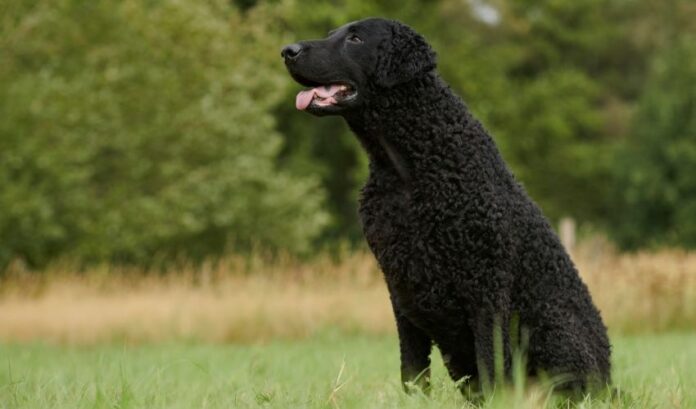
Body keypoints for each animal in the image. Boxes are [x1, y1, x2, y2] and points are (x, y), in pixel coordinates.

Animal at [282, 17, 608, 390]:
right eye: (332, 33)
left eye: (355, 38)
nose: (287, 51)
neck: (406, 168)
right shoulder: (400, 285)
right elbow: (411, 369)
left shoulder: (485, 286)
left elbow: (492, 362)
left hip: (552, 328)